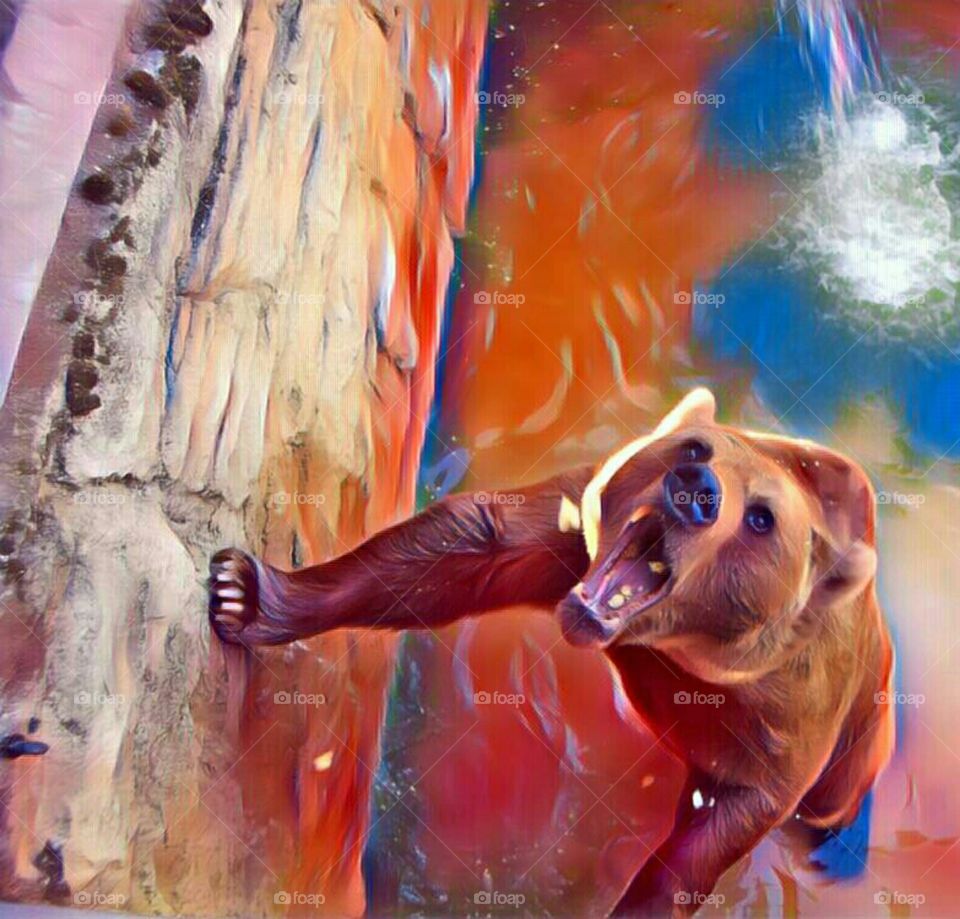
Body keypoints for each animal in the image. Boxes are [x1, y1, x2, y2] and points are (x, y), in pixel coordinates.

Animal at [209, 388, 894, 916]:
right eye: (696, 448)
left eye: (761, 520)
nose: (697, 488)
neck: (674, 648)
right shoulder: (576, 531)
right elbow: (464, 547)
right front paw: (248, 595)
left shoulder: (786, 721)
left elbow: (713, 835)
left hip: (864, 725)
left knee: (833, 800)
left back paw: (838, 848)